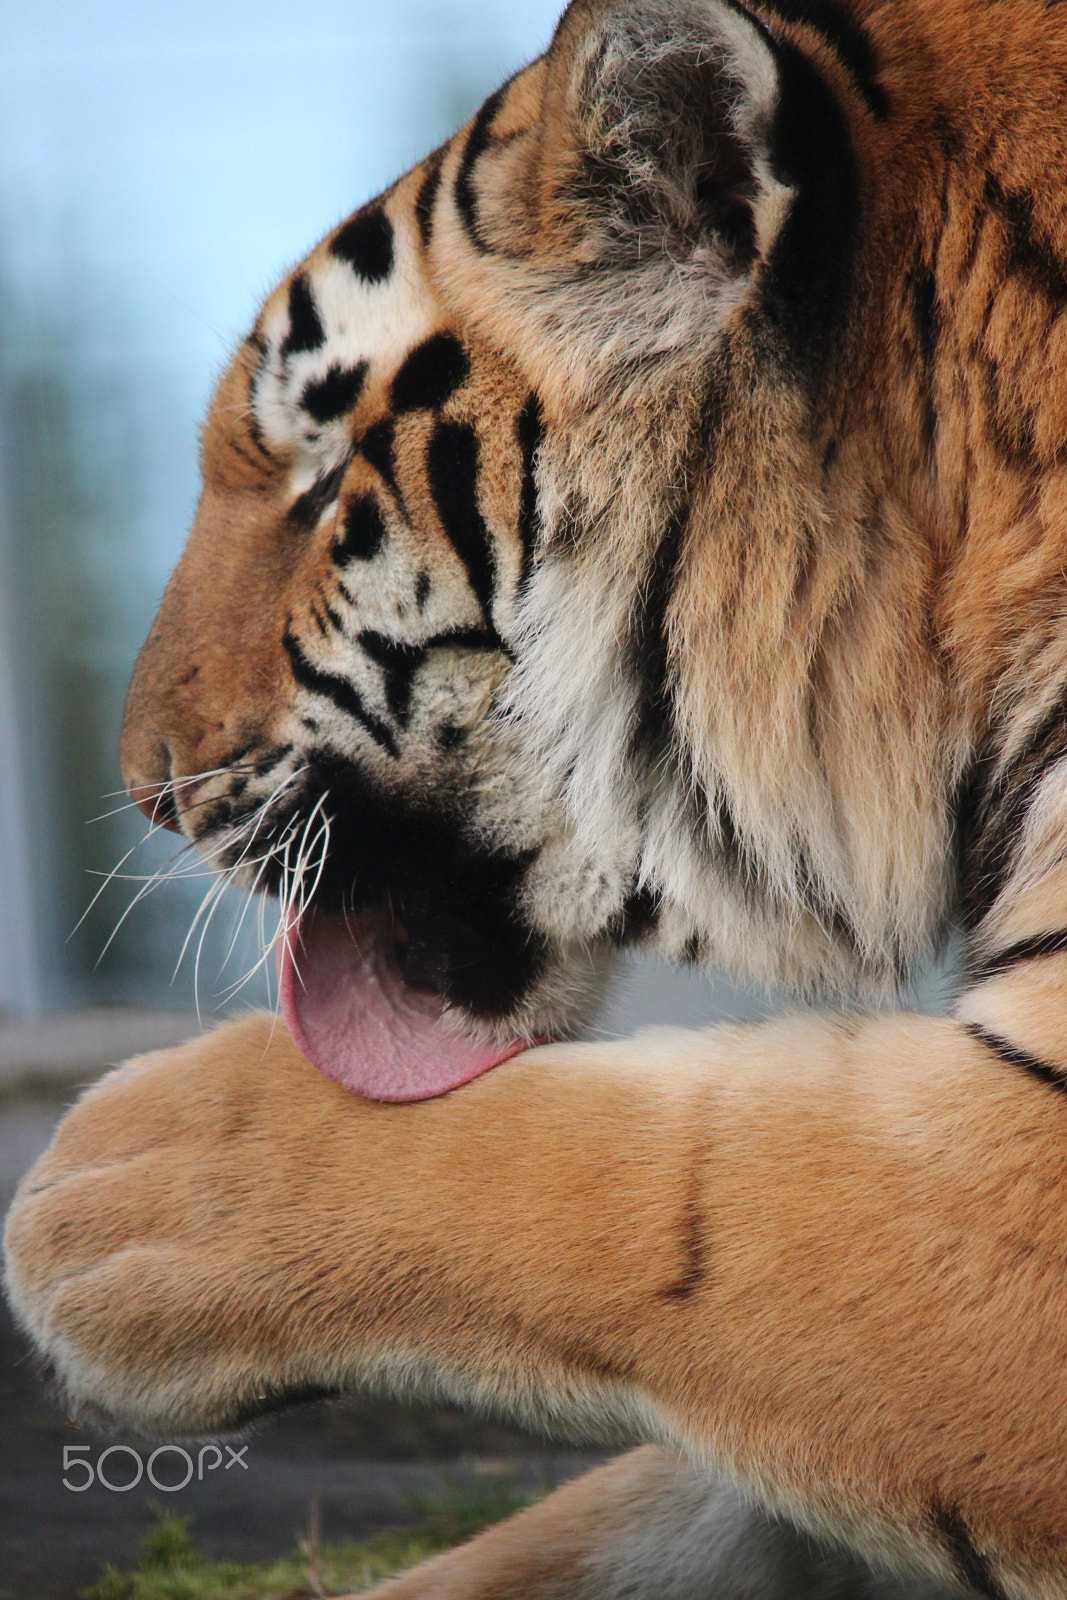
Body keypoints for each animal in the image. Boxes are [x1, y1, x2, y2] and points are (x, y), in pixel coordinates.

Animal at [10, 0, 1067, 1592]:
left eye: (323, 482)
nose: (146, 787)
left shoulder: (1011, 1179)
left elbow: (653, 1181)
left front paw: (114, 1191)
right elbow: (626, 1509)